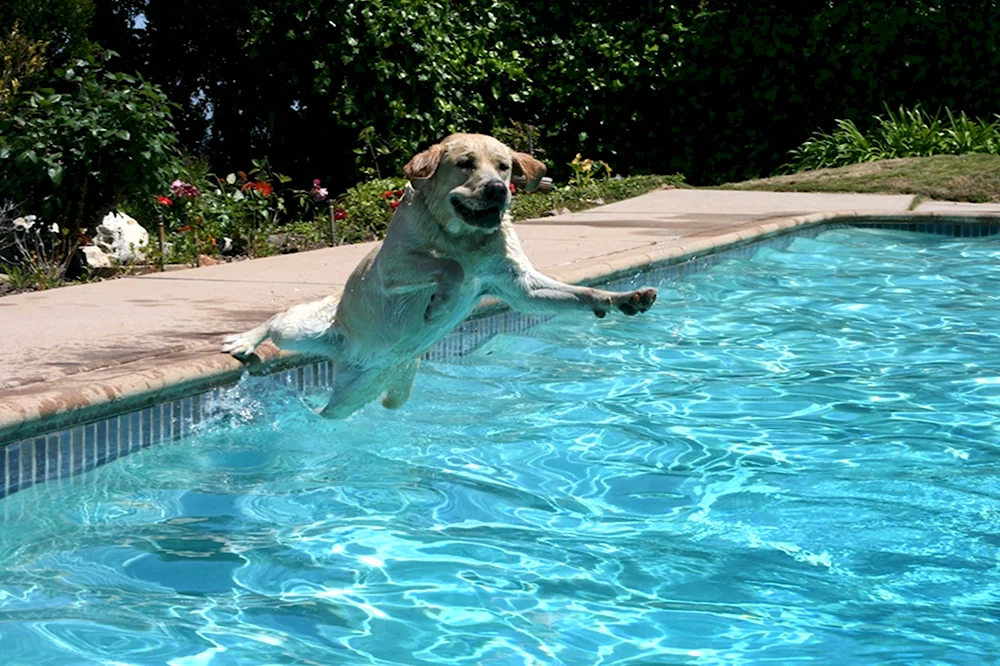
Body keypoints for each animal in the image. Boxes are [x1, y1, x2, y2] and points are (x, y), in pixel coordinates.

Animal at [222, 132, 656, 418]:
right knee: (278, 322)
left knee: (340, 409)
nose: (498, 188)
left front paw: (620, 299)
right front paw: (441, 301)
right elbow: (451, 265)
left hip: (363, 390)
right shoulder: (394, 267)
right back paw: (244, 342)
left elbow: (575, 293)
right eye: (465, 164)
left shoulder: (519, 285)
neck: (463, 235)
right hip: (306, 330)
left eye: (504, 166)